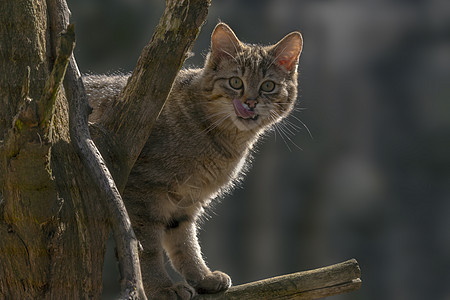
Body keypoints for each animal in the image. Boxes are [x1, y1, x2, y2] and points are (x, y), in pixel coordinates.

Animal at [85, 22, 302, 298]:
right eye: (235, 82)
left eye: (268, 86)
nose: (250, 103)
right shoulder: (141, 193)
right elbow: (148, 247)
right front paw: (162, 287)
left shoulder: (187, 200)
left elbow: (185, 242)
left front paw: (202, 277)